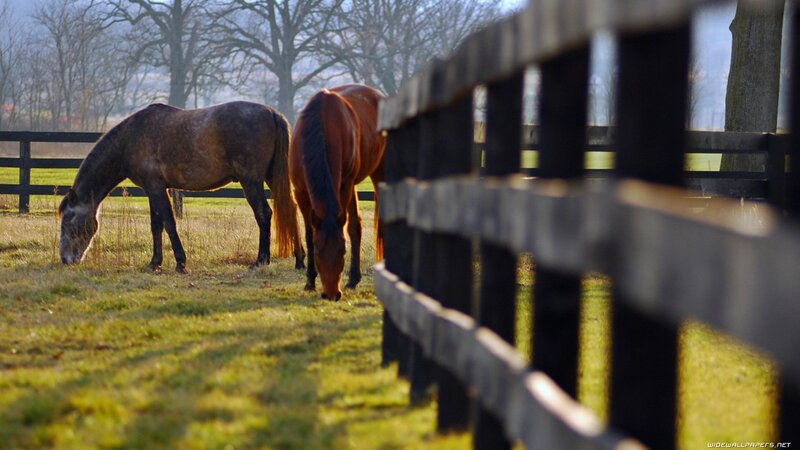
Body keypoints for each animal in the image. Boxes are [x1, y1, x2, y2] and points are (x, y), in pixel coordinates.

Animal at [58, 101, 304, 273]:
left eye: (68, 221)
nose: (65, 260)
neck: (132, 137)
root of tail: (271, 113)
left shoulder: (156, 188)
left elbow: (168, 223)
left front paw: (180, 263)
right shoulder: (153, 189)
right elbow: (156, 225)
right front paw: (154, 263)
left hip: (251, 181)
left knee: (264, 214)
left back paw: (261, 260)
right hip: (271, 177)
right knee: (290, 210)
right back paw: (300, 259)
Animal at [289, 84, 386, 301]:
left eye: (343, 250)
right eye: (318, 250)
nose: (332, 294)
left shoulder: (344, 186)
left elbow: (348, 229)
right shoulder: (300, 192)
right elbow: (309, 233)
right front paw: (309, 281)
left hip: (378, 173)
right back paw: (353, 279)